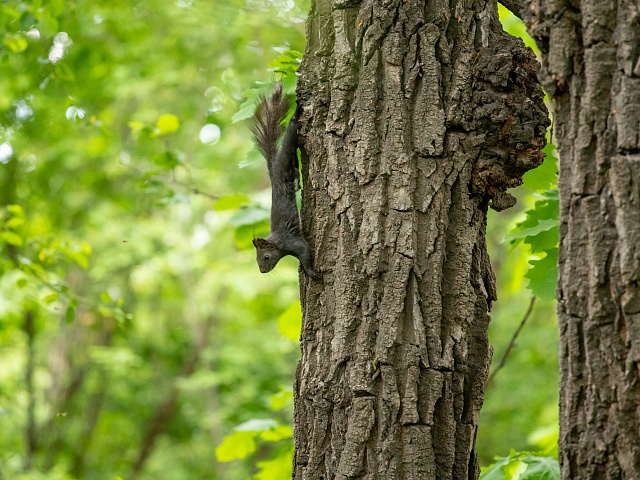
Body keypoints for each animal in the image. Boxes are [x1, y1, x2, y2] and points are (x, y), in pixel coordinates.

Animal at [250, 85, 320, 280]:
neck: (278, 243)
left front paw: (311, 272)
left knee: (291, 130)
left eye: (266, 257)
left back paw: (296, 114)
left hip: (287, 149)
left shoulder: (293, 242)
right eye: (257, 260)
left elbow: (305, 252)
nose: (262, 271)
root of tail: (273, 168)